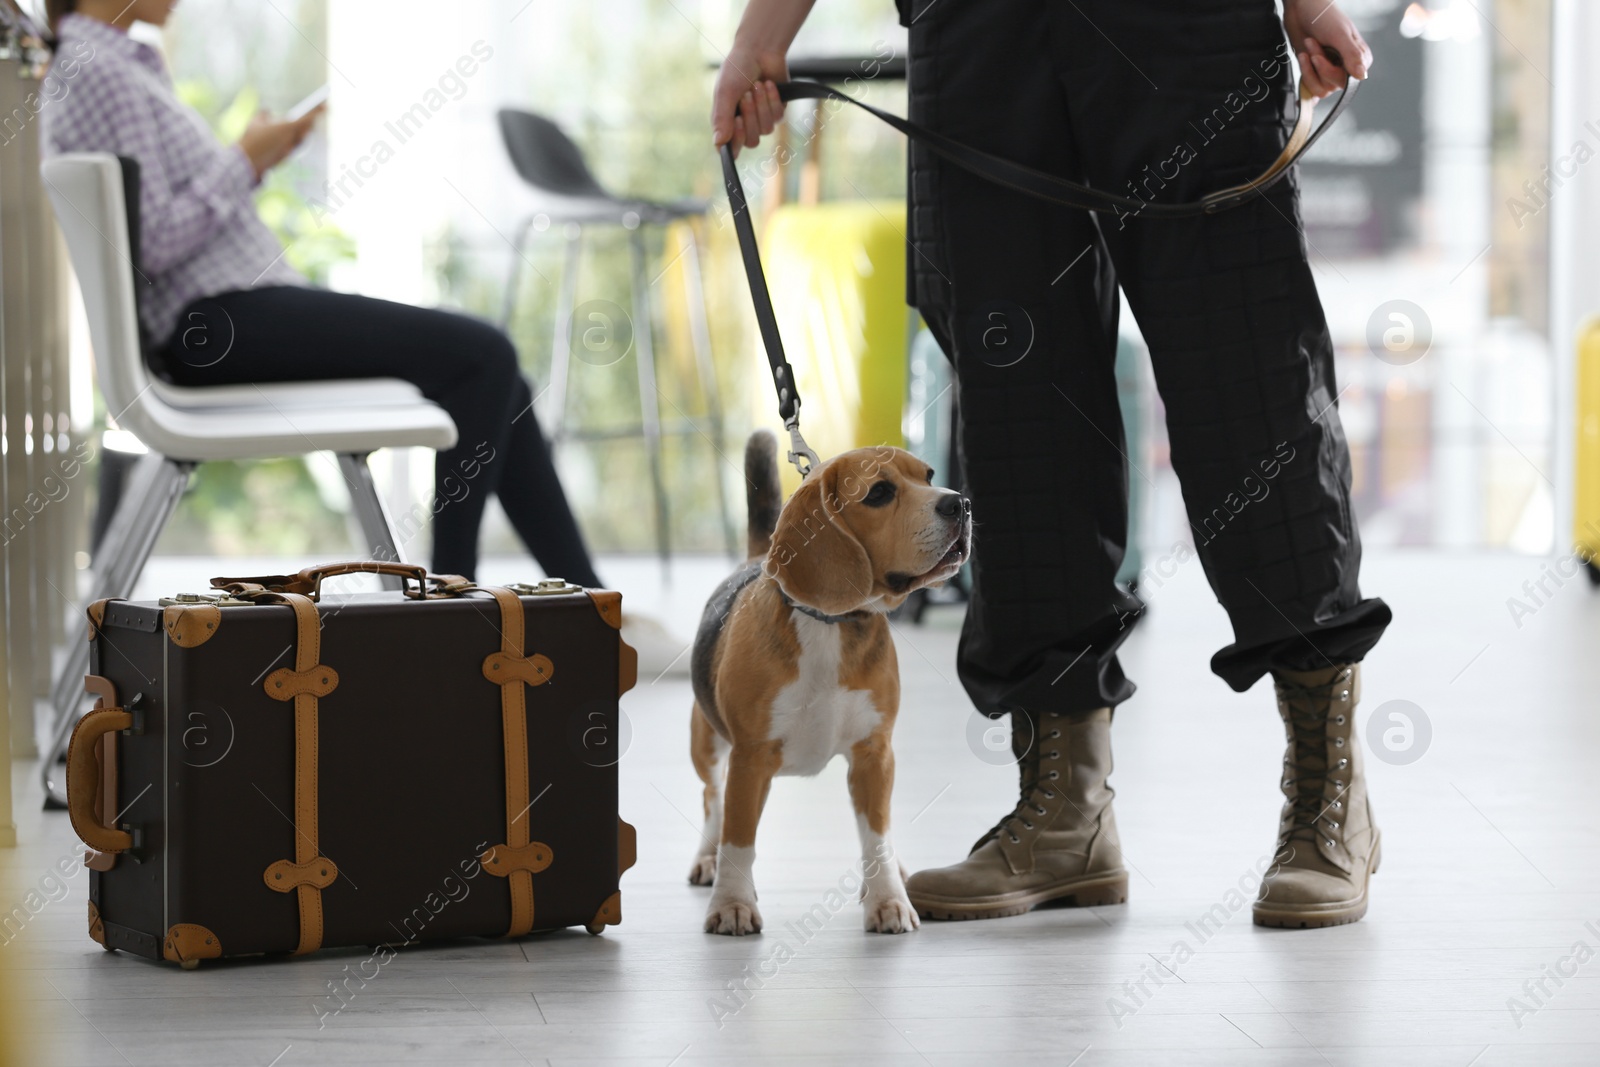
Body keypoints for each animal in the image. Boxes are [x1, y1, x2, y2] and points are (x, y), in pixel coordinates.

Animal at [691, 431, 972, 934]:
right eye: (879, 493)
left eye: (930, 477)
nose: (961, 503)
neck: (829, 623)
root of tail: (758, 557)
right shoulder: (749, 759)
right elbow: (739, 839)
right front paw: (732, 904)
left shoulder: (874, 754)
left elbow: (876, 835)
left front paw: (887, 899)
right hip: (707, 744)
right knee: (712, 798)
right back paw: (708, 859)